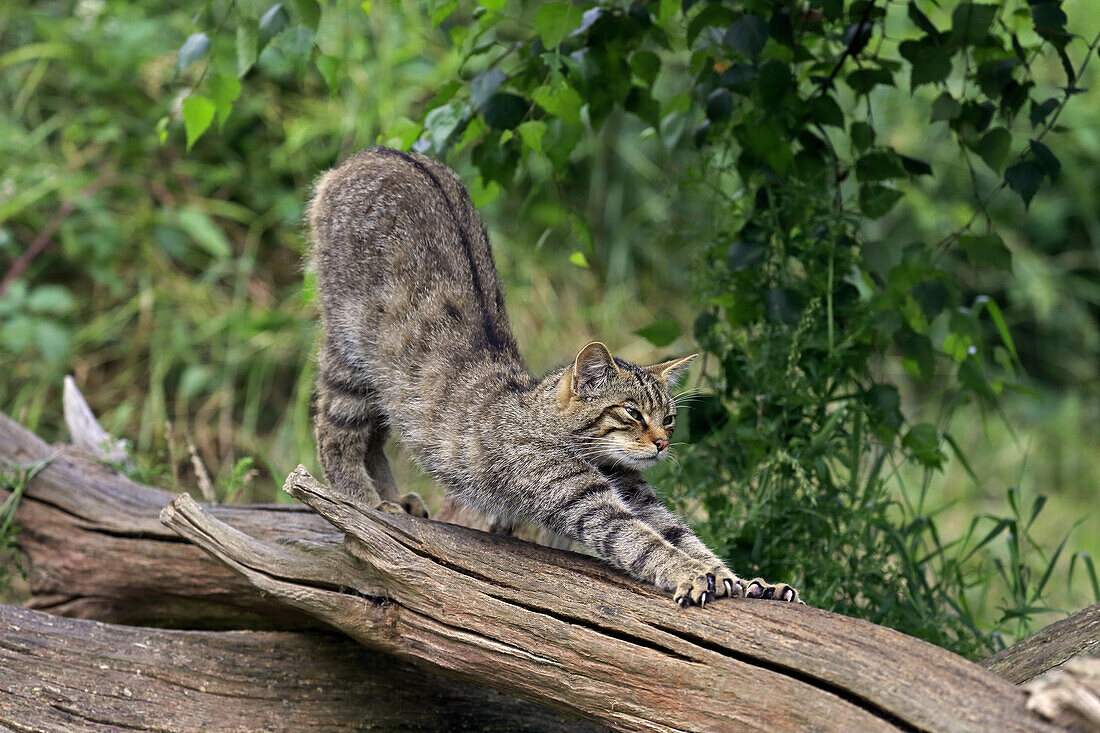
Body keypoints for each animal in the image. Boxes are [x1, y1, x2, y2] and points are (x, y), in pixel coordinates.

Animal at [308, 147, 800, 603]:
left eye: (669, 419)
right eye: (632, 414)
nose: (662, 443)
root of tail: (377, 153)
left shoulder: (638, 496)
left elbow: (685, 537)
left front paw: (750, 582)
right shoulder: (583, 499)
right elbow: (643, 542)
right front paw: (690, 574)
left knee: (373, 438)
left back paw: (395, 500)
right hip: (348, 356)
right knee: (334, 434)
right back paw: (366, 500)